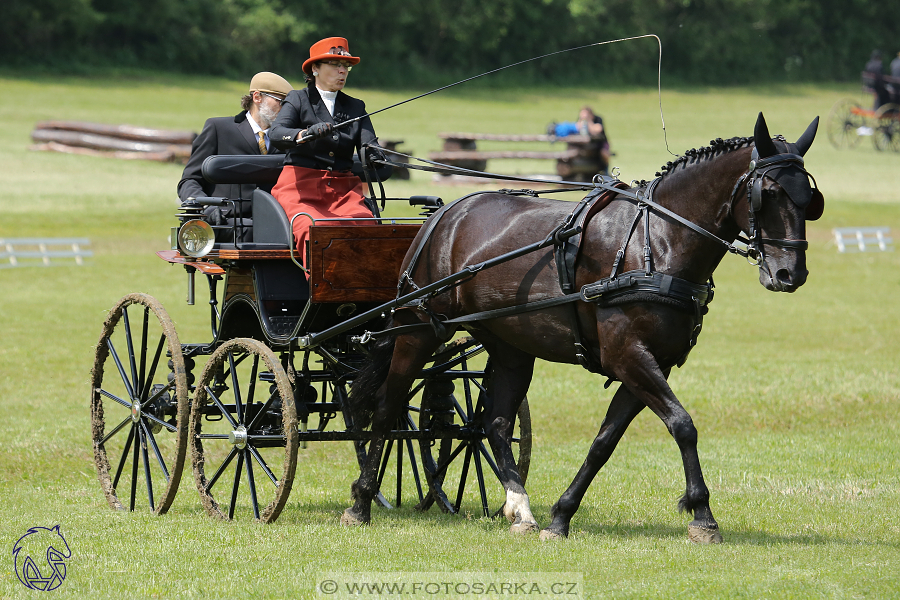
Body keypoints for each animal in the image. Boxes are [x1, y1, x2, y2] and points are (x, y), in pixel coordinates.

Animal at [342, 112, 824, 544]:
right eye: (770, 192)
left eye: (810, 199)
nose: (790, 274)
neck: (657, 241)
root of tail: (444, 213)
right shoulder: (629, 356)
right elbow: (683, 424)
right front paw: (702, 515)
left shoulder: (651, 364)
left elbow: (604, 441)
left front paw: (561, 516)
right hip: (417, 329)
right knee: (386, 407)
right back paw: (361, 500)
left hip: (511, 346)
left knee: (494, 423)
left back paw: (520, 508)